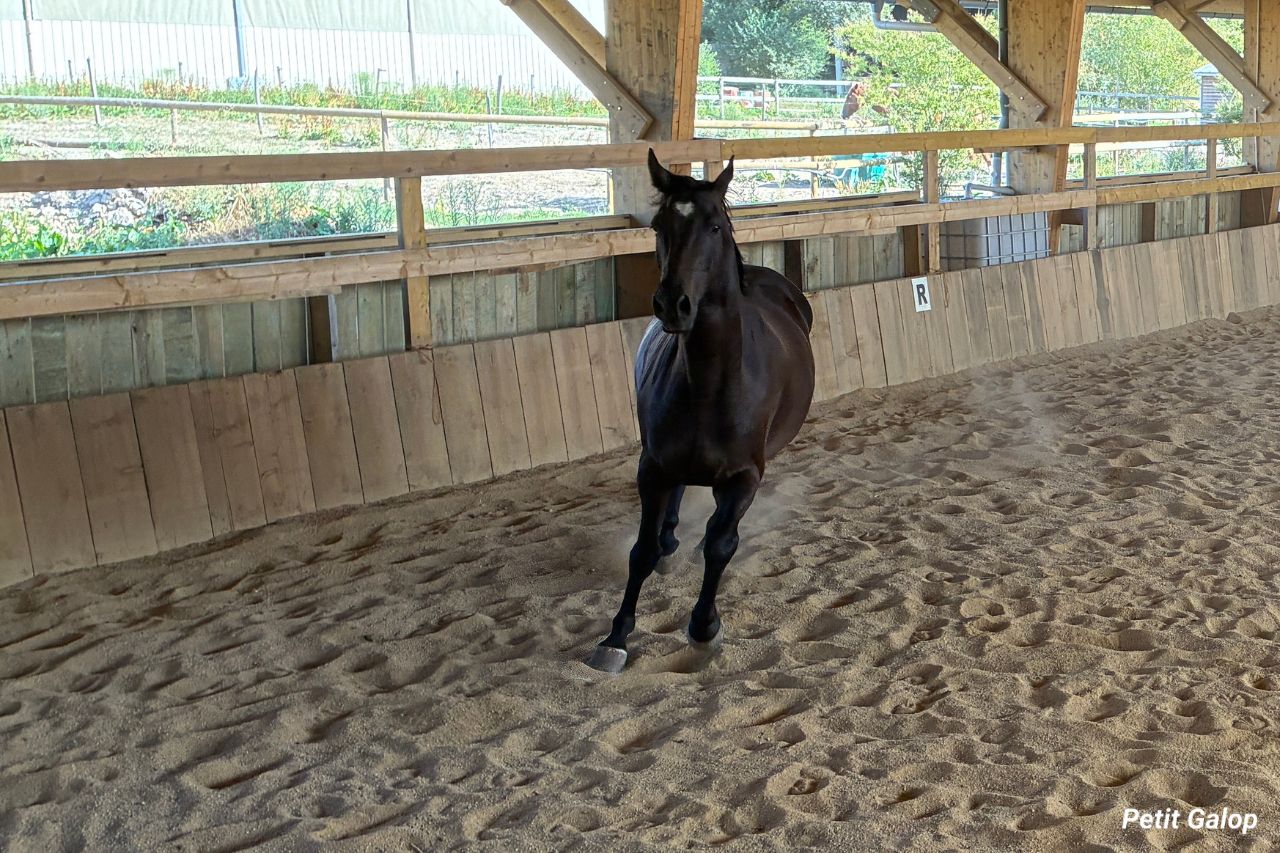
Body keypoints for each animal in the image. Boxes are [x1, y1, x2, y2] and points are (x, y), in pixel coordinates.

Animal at [587, 150, 817, 673]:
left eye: (714, 226)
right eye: (659, 225)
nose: (673, 305)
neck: (712, 385)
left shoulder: (745, 477)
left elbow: (720, 543)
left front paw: (703, 626)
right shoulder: (652, 467)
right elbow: (642, 550)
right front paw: (616, 636)